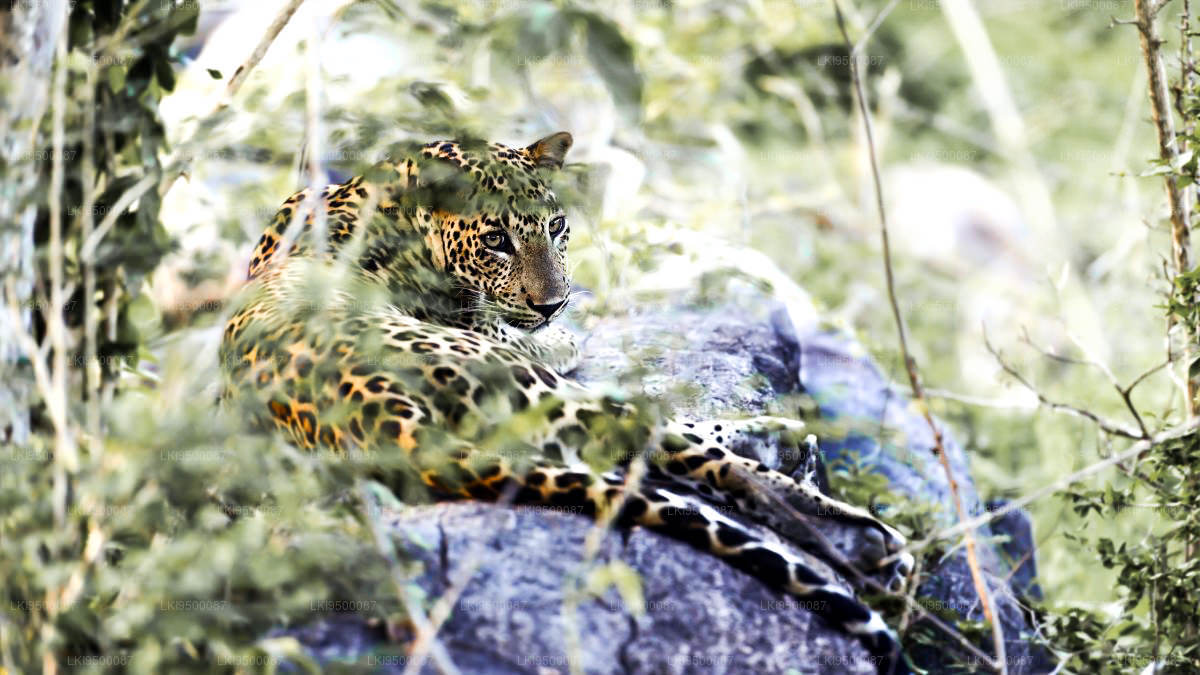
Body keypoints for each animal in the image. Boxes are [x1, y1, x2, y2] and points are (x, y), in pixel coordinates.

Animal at [219, 131, 914, 673]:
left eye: (557, 229)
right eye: (496, 240)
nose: (553, 303)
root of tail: (384, 418)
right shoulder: (500, 335)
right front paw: (565, 333)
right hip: (537, 393)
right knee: (703, 456)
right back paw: (860, 531)